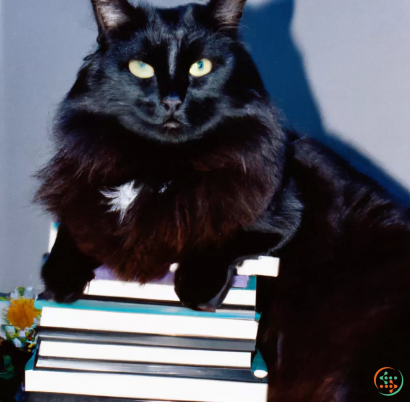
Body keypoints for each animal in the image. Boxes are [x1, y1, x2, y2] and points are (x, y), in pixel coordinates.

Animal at [33, 1, 410, 400]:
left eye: (200, 67)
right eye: (141, 68)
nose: (172, 101)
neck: (162, 165)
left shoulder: (282, 211)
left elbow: (222, 230)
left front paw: (195, 287)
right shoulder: (85, 192)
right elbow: (76, 226)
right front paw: (59, 278)